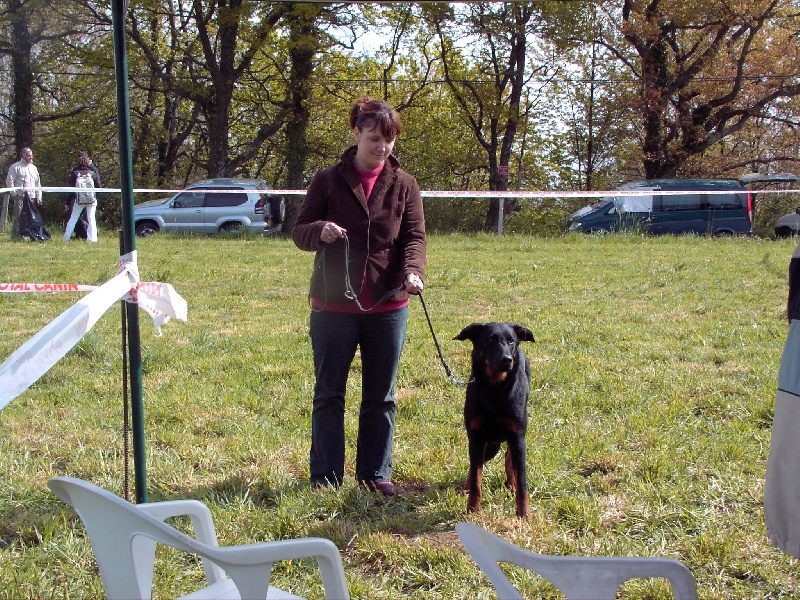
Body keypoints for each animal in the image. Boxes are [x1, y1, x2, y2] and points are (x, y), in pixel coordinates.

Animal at [454, 322, 536, 516]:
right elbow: (476, 477)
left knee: (509, 457)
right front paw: (472, 509)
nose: (507, 359)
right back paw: (466, 487)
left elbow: (522, 481)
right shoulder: (476, 436)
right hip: (488, 442)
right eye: (490, 340)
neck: (494, 389)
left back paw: (511, 485)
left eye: (511, 341)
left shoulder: (517, 436)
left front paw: (524, 514)